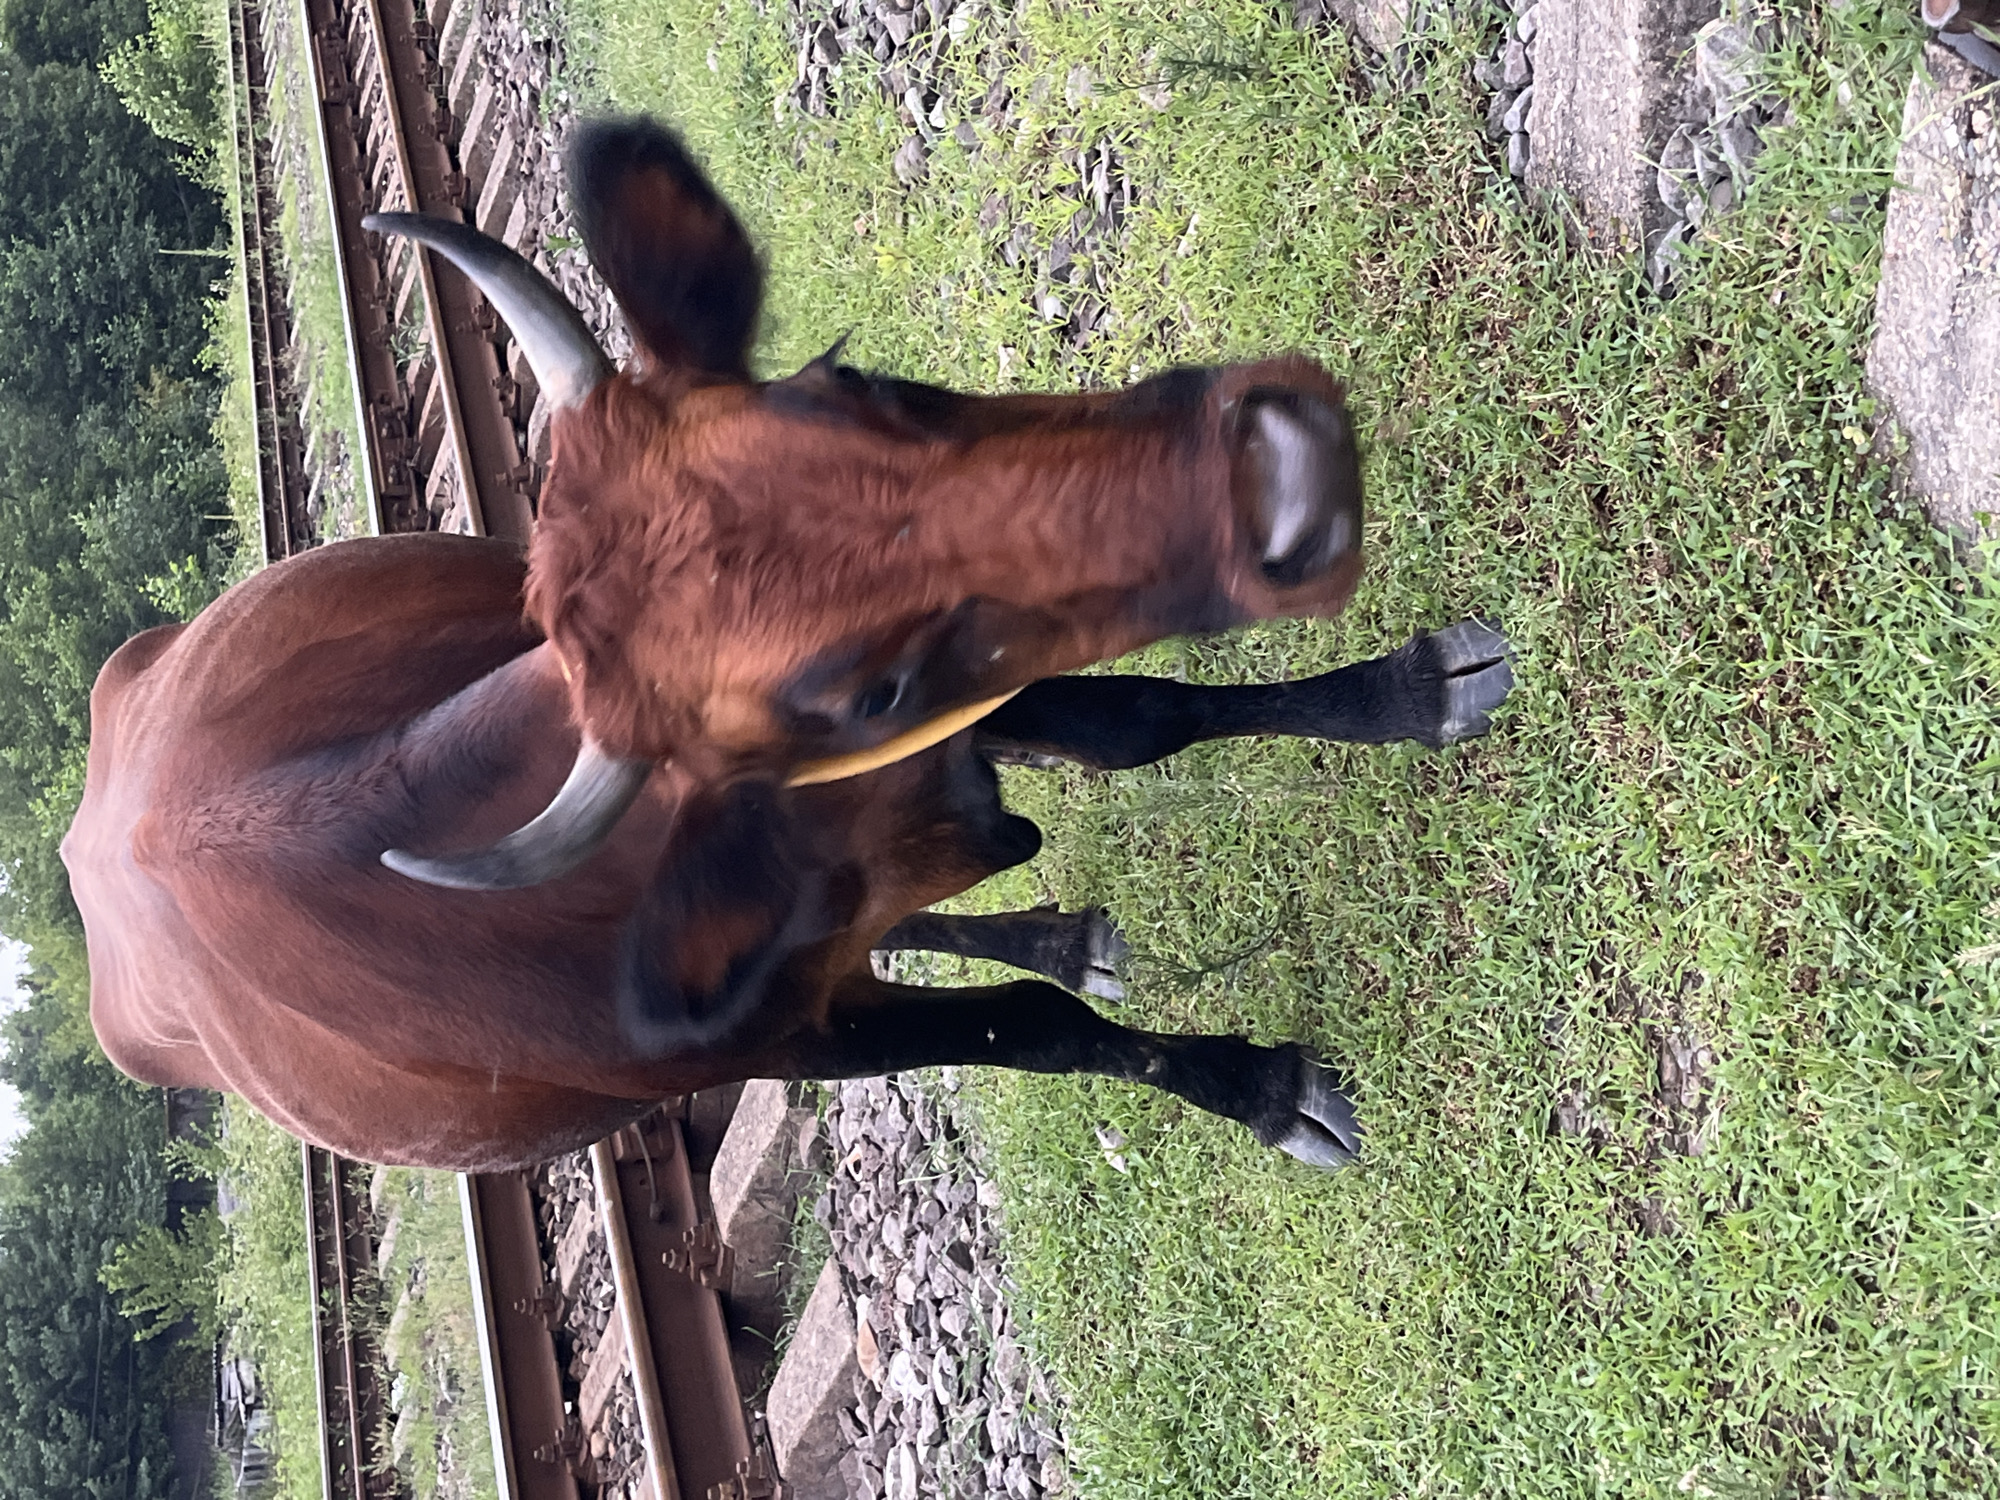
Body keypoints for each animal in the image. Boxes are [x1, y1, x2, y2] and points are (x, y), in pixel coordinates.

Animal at [64, 118, 1513, 1173]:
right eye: (858, 691)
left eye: (852, 385)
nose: (1284, 475)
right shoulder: (802, 1037)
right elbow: (1047, 1034)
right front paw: (1258, 1087)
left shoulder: (975, 712)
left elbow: (1145, 720)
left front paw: (1408, 692)